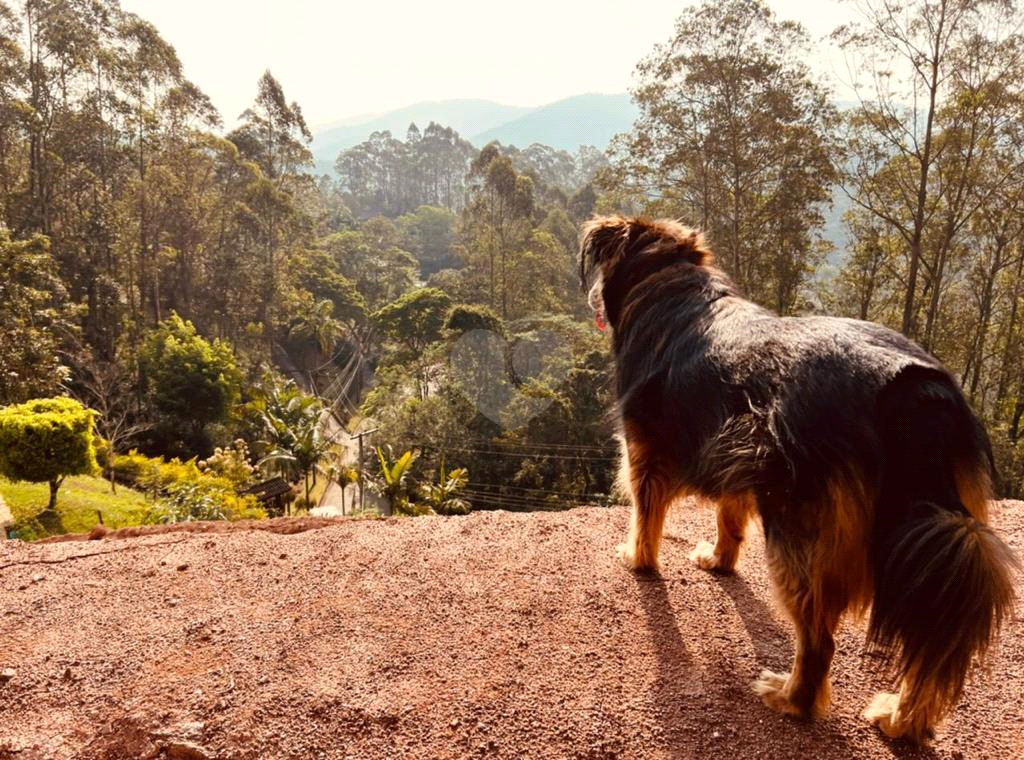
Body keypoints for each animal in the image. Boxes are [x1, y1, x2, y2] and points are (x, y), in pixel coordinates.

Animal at [581, 214, 1019, 745]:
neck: (670, 281)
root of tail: (912, 389)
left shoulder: (644, 453)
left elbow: (646, 516)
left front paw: (638, 559)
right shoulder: (737, 455)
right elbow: (729, 520)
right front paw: (720, 561)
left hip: (800, 529)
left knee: (819, 639)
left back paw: (793, 698)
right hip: (930, 537)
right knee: (930, 636)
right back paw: (904, 719)